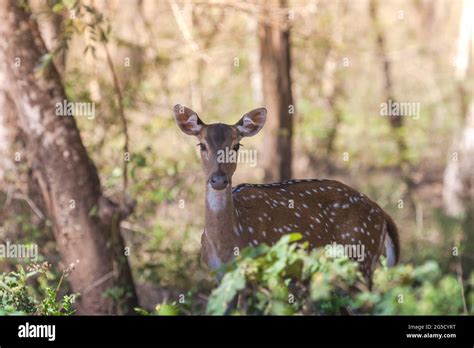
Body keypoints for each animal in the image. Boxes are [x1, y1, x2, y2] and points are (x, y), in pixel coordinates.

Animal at [174, 104, 400, 284]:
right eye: (201, 145)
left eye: (236, 145)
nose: (219, 179)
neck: (227, 245)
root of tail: (382, 213)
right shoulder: (219, 275)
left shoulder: (261, 266)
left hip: (360, 254)